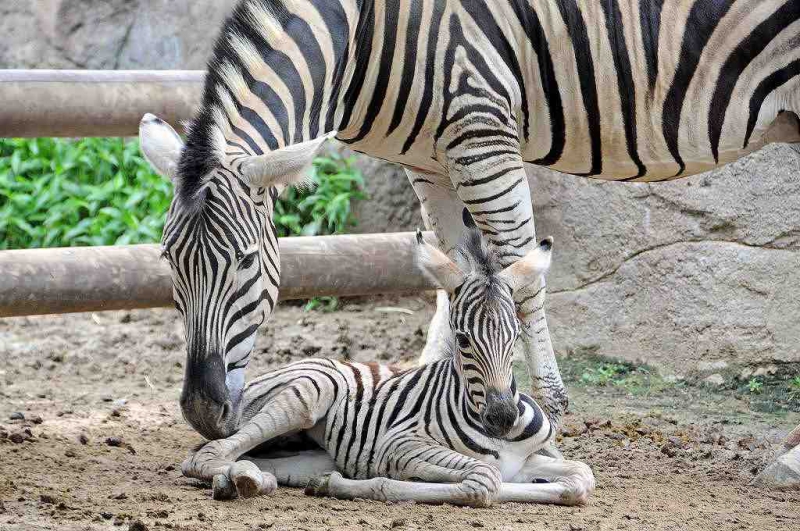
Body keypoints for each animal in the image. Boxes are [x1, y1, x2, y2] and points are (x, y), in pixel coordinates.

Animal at [141, 0, 800, 440]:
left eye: (246, 261)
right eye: (168, 262)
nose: (202, 412)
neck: (368, 37)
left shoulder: (482, 134)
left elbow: (519, 271)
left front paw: (549, 412)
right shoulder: (427, 160)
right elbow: (451, 273)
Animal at [183, 223, 592, 508]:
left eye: (515, 336)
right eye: (462, 340)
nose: (503, 418)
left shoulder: (527, 460)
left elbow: (581, 479)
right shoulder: (399, 444)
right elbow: (484, 480)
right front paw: (344, 485)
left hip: (309, 452)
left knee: (238, 458)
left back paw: (245, 478)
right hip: (314, 388)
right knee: (207, 455)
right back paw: (242, 479)